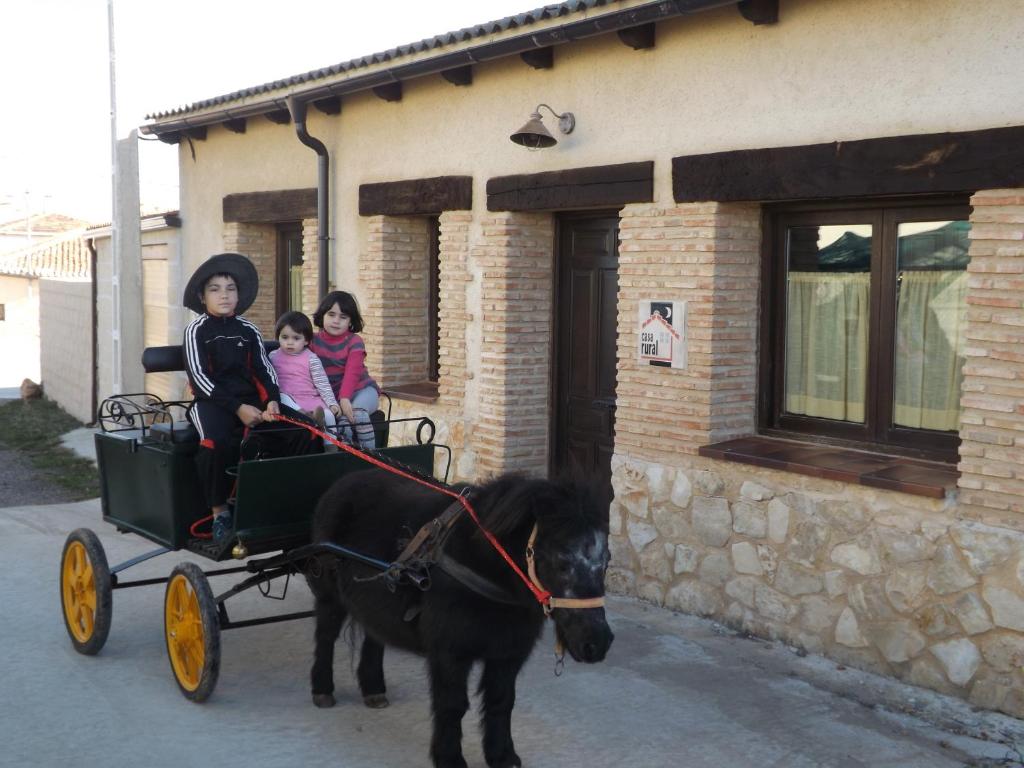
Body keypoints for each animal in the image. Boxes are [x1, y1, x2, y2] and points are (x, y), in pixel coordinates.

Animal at [307, 468, 610, 768]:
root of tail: (342, 482)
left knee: (374, 635)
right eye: (562, 562)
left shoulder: (508, 653)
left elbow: (501, 701)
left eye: (606, 562)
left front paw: (502, 756)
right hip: (329, 596)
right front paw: (449, 758)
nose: (597, 643)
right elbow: (452, 705)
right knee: (325, 636)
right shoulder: (450, 653)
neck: (482, 567)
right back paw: (322, 689)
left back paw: (373, 689)